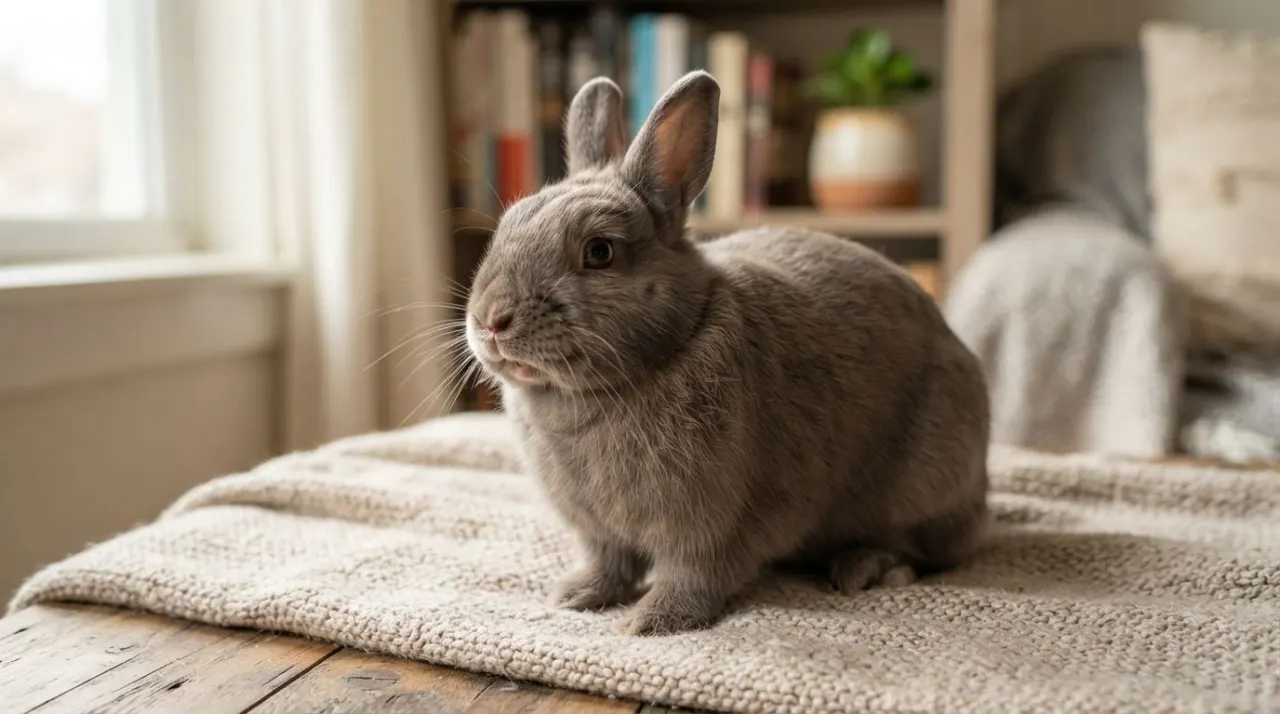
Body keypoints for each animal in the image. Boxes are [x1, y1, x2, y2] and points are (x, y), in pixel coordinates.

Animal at [464, 70, 991, 637]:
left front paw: (651, 622)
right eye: (505, 228)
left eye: (599, 252)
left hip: (922, 482)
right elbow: (610, 563)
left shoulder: (709, 523)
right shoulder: (599, 530)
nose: (490, 320)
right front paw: (576, 595)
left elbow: (692, 573)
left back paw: (866, 568)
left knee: (927, 547)